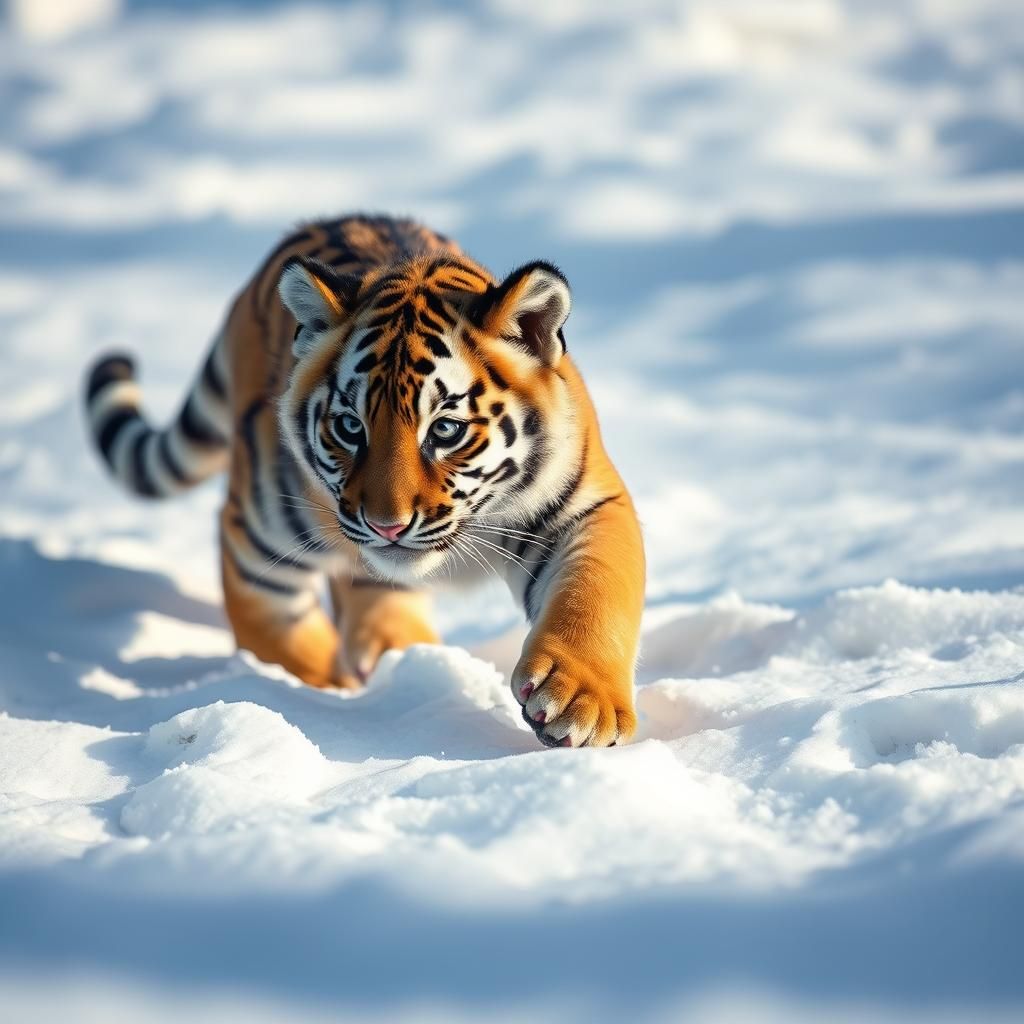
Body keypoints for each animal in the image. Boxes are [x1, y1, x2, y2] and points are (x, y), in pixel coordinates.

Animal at [84, 215, 645, 748]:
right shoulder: (257, 552)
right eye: (351, 427)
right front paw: (332, 706)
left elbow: (595, 591)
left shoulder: (584, 509)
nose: (386, 526)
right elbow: (285, 643)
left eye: (445, 429)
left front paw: (580, 701)